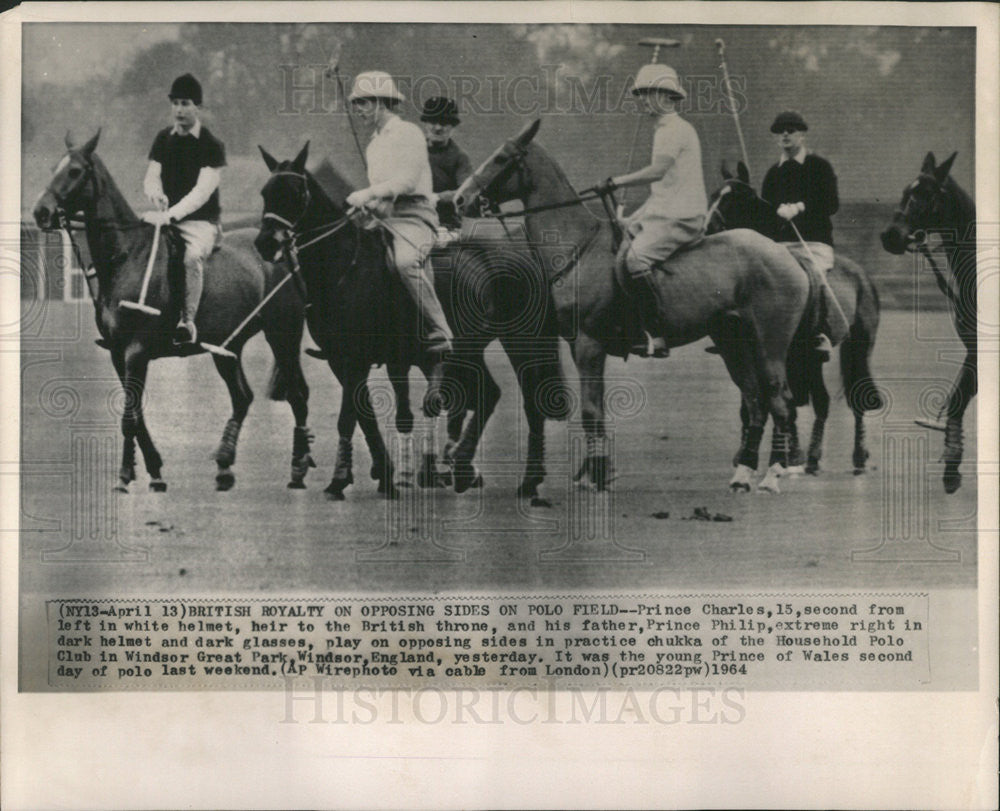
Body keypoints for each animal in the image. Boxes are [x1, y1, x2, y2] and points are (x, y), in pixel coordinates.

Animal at [34, 130, 312, 492]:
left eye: (76, 171)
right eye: (54, 167)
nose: (41, 212)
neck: (127, 257)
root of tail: (284, 252)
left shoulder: (136, 351)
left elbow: (130, 417)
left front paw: (127, 475)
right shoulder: (118, 353)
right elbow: (135, 415)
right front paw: (153, 470)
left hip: (284, 335)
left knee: (298, 394)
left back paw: (299, 469)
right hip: (227, 346)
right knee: (242, 397)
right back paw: (225, 466)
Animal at [252, 144, 572, 502]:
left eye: (295, 192)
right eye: (266, 192)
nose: (266, 243)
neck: (345, 267)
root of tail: (522, 245)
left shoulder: (358, 359)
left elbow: (348, 418)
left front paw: (341, 479)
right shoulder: (343, 359)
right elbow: (365, 416)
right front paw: (383, 473)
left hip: (520, 338)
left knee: (530, 402)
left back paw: (519, 478)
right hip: (468, 350)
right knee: (489, 394)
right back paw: (467, 468)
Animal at [458, 117, 816, 492]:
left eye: (501, 158)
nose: (458, 199)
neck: (578, 247)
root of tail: (787, 254)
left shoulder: (589, 343)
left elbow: (590, 411)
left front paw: (597, 474)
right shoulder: (580, 345)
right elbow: (597, 410)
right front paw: (594, 472)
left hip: (770, 343)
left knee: (780, 401)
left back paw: (772, 475)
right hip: (733, 343)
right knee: (755, 400)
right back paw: (743, 474)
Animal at [704, 160, 884, 476]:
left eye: (738, 197)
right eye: (714, 194)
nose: (707, 229)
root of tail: (862, 275)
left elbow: (778, 401)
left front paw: (782, 456)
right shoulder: (740, 352)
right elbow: (752, 402)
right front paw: (748, 454)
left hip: (856, 346)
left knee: (850, 398)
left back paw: (851, 456)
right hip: (809, 358)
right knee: (814, 400)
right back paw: (806, 454)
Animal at [884, 152, 976, 494]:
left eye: (925, 194)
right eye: (903, 191)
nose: (889, 236)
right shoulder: (973, 350)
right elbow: (958, 400)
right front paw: (951, 467)